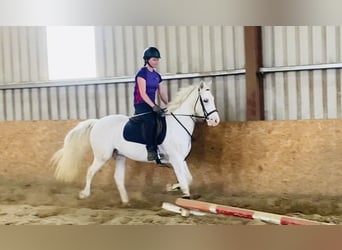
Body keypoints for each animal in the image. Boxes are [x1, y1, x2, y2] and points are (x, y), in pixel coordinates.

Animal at [52, 81, 220, 204]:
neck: (178, 124)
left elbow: (188, 179)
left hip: (119, 156)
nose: (215, 121)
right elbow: (185, 182)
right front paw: (184, 195)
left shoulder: (180, 159)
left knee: (118, 178)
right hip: (102, 156)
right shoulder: (176, 159)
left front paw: (173, 187)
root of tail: (97, 122)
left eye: (213, 99)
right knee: (90, 171)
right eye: (206, 100)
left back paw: (126, 202)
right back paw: (84, 194)